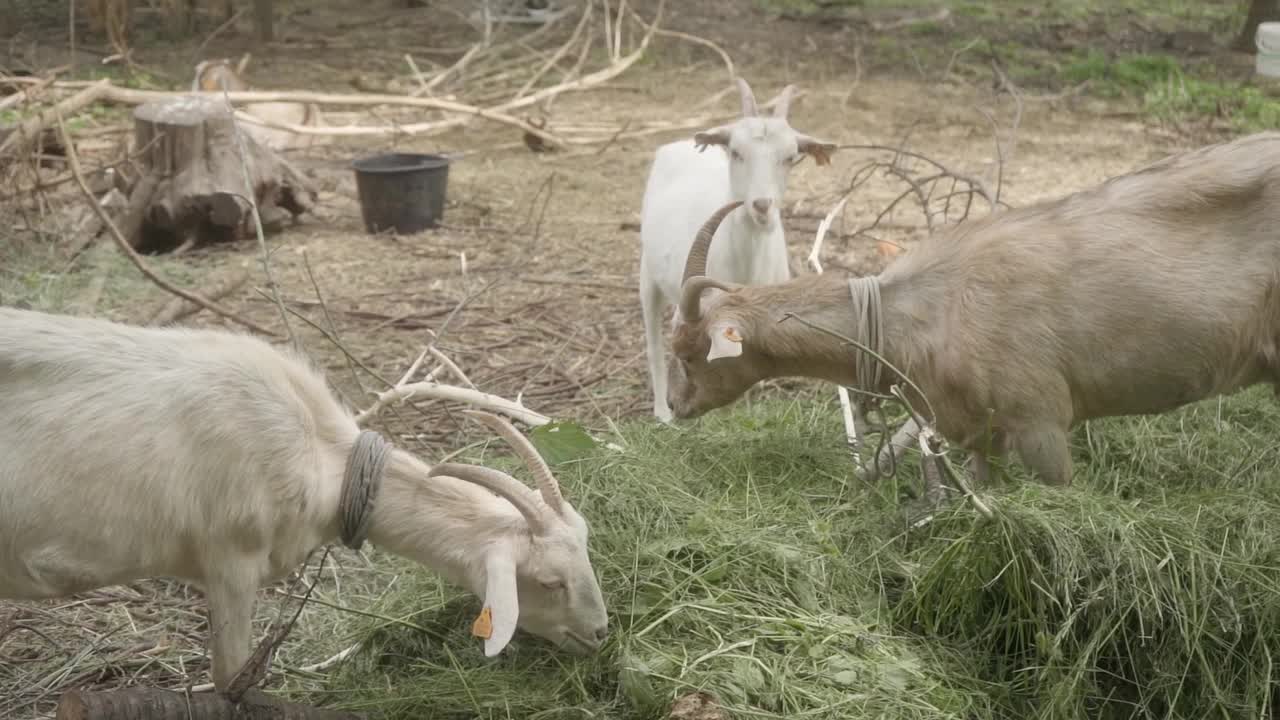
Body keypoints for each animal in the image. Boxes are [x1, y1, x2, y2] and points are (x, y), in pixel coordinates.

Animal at [640, 77, 839, 420]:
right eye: (736, 152)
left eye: (790, 157)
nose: (761, 205)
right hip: (648, 275)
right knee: (653, 340)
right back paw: (661, 413)